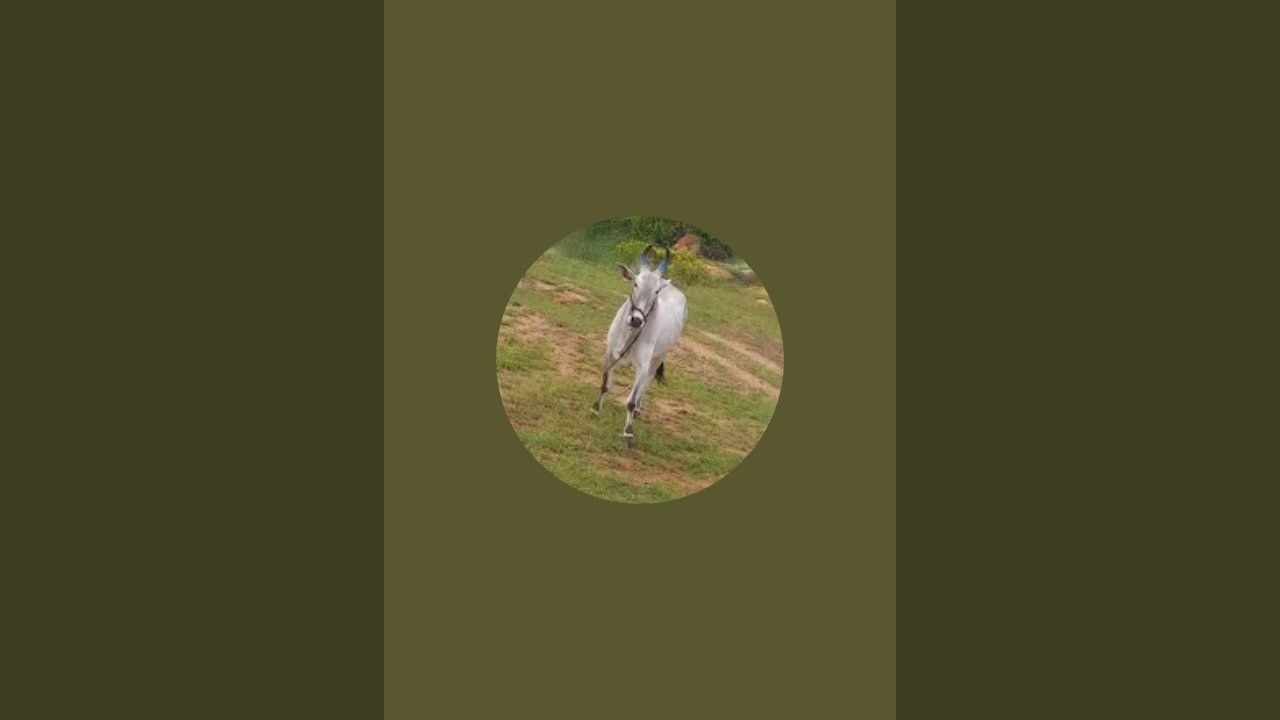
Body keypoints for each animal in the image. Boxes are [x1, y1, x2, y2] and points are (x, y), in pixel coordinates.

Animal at [591, 245, 688, 448]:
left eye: (656, 292)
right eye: (635, 283)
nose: (636, 320)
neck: (629, 334)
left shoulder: (643, 365)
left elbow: (631, 401)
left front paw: (628, 432)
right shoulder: (609, 355)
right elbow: (605, 385)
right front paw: (596, 409)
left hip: (659, 356)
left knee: (646, 383)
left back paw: (638, 409)